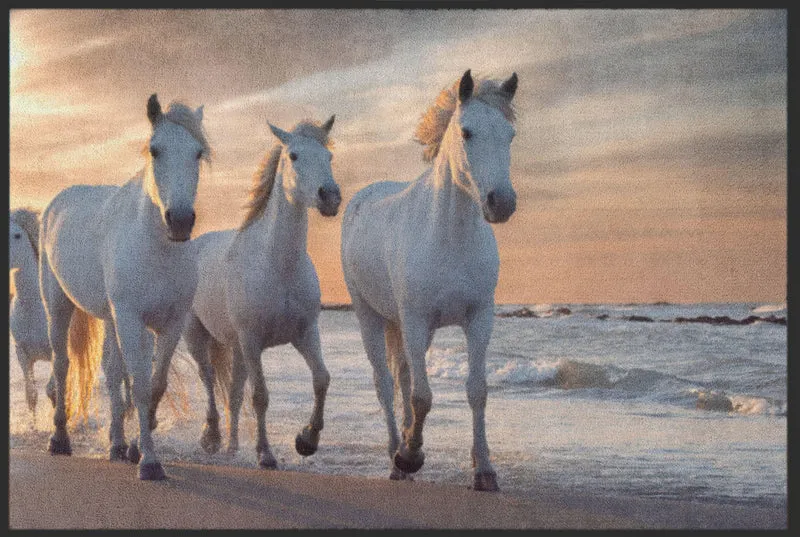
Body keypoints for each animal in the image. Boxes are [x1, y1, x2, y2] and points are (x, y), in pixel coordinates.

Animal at [38, 94, 210, 480]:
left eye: (198, 153)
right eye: (155, 150)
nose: (179, 221)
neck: (156, 248)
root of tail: (56, 204)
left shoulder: (170, 323)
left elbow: (152, 385)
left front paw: (135, 447)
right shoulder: (131, 319)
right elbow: (141, 385)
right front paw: (149, 462)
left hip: (109, 318)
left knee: (113, 374)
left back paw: (117, 445)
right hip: (58, 306)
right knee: (62, 365)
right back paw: (59, 440)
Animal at [150, 116, 340, 468]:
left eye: (329, 156)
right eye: (294, 155)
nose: (330, 197)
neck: (277, 266)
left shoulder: (306, 333)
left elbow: (321, 379)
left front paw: (307, 440)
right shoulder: (252, 340)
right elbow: (260, 396)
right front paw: (265, 454)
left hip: (236, 348)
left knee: (233, 394)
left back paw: (232, 446)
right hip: (197, 336)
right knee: (209, 380)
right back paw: (211, 438)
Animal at [341, 70, 518, 492]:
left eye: (510, 135)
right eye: (467, 132)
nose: (501, 203)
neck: (450, 237)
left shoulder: (478, 319)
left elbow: (476, 391)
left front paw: (484, 470)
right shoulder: (416, 320)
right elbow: (422, 396)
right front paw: (409, 455)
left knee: (403, 376)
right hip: (370, 316)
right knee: (386, 384)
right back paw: (397, 456)